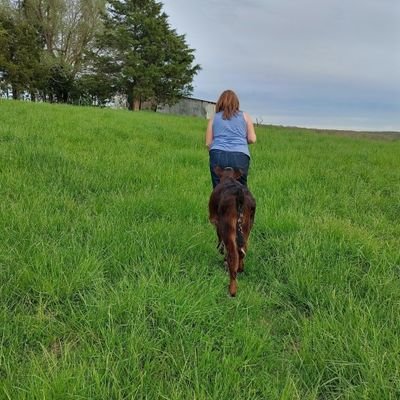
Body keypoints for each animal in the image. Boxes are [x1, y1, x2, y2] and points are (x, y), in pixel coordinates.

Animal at [209, 166, 256, 296]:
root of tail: (239, 194)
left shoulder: (215, 220)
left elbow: (219, 238)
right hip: (246, 227)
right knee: (243, 250)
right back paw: (241, 268)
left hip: (228, 227)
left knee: (233, 255)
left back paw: (232, 290)